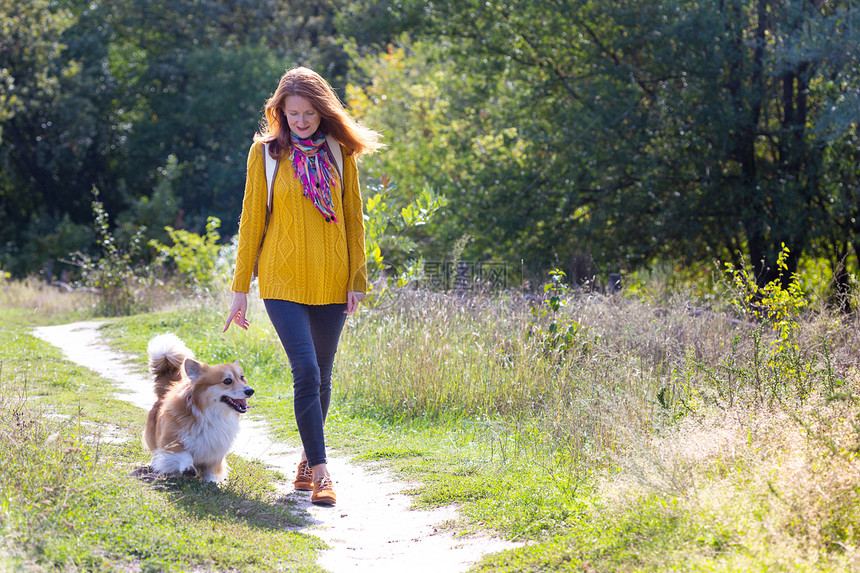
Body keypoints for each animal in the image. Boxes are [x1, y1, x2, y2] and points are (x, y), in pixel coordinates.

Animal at [141, 332, 254, 480]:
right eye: (227, 381)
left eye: (242, 377)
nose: (250, 391)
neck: (210, 413)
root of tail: (166, 391)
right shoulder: (171, 440)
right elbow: (184, 454)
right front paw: (188, 468)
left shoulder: (216, 449)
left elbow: (212, 469)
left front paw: (211, 481)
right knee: (156, 451)